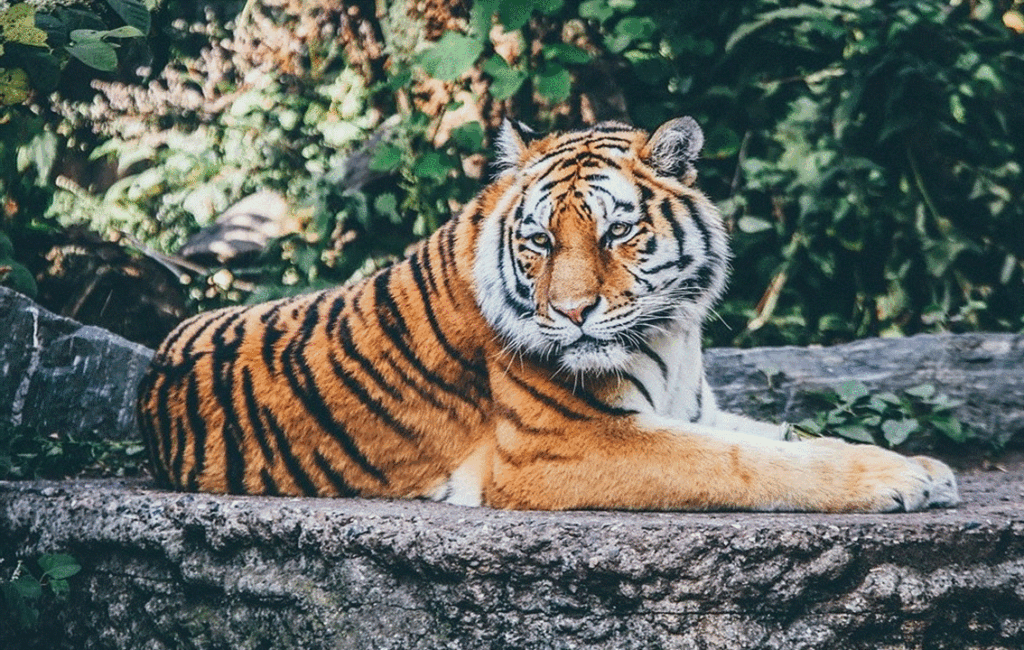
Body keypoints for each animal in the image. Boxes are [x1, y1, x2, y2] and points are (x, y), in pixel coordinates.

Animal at [138, 118, 958, 513]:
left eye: (617, 231)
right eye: (538, 241)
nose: (571, 313)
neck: (673, 334)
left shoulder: (692, 409)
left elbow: (783, 435)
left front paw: (923, 467)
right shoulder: (566, 445)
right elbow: (749, 462)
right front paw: (899, 478)